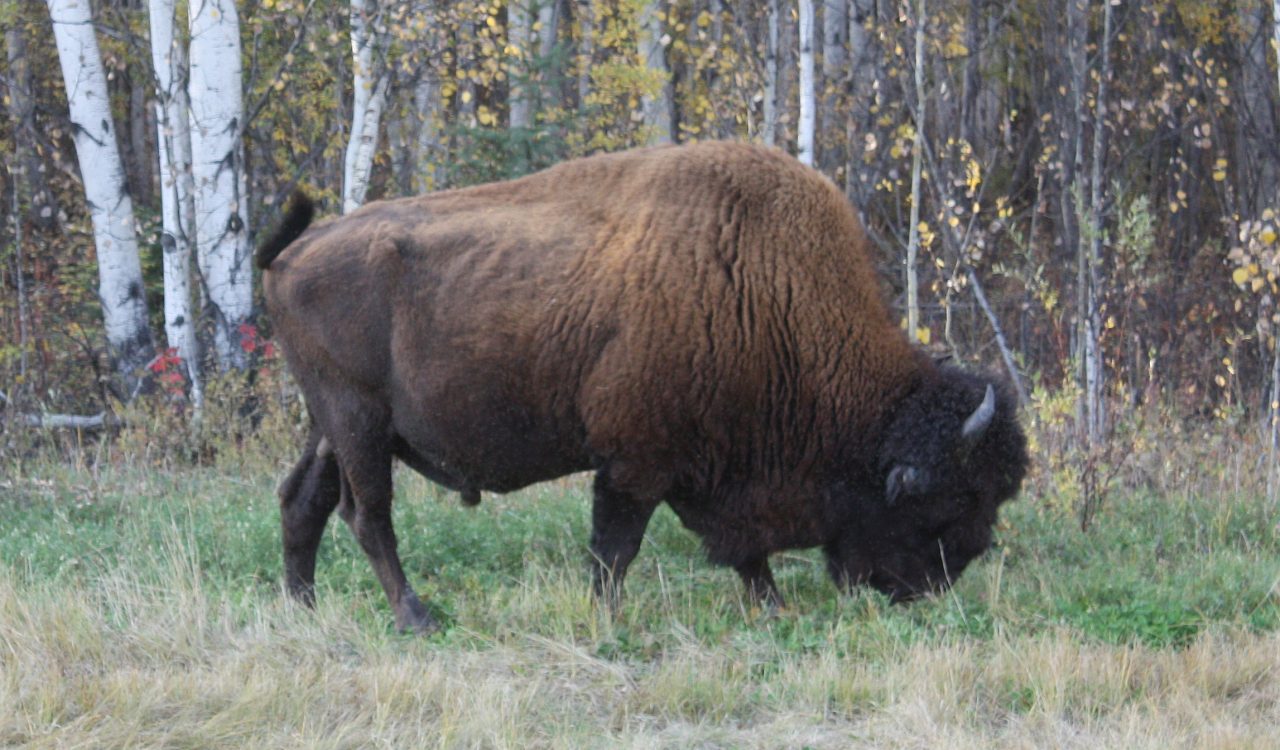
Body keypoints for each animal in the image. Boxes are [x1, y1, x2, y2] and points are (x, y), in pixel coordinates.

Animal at [254, 141, 1024, 629]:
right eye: (955, 499)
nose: (929, 589)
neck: (764, 296)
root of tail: (293, 252)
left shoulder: (701, 472)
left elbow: (741, 552)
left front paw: (771, 607)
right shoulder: (636, 461)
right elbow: (616, 548)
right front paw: (607, 617)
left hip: (336, 426)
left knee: (302, 501)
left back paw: (302, 609)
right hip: (358, 422)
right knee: (367, 516)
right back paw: (416, 618)